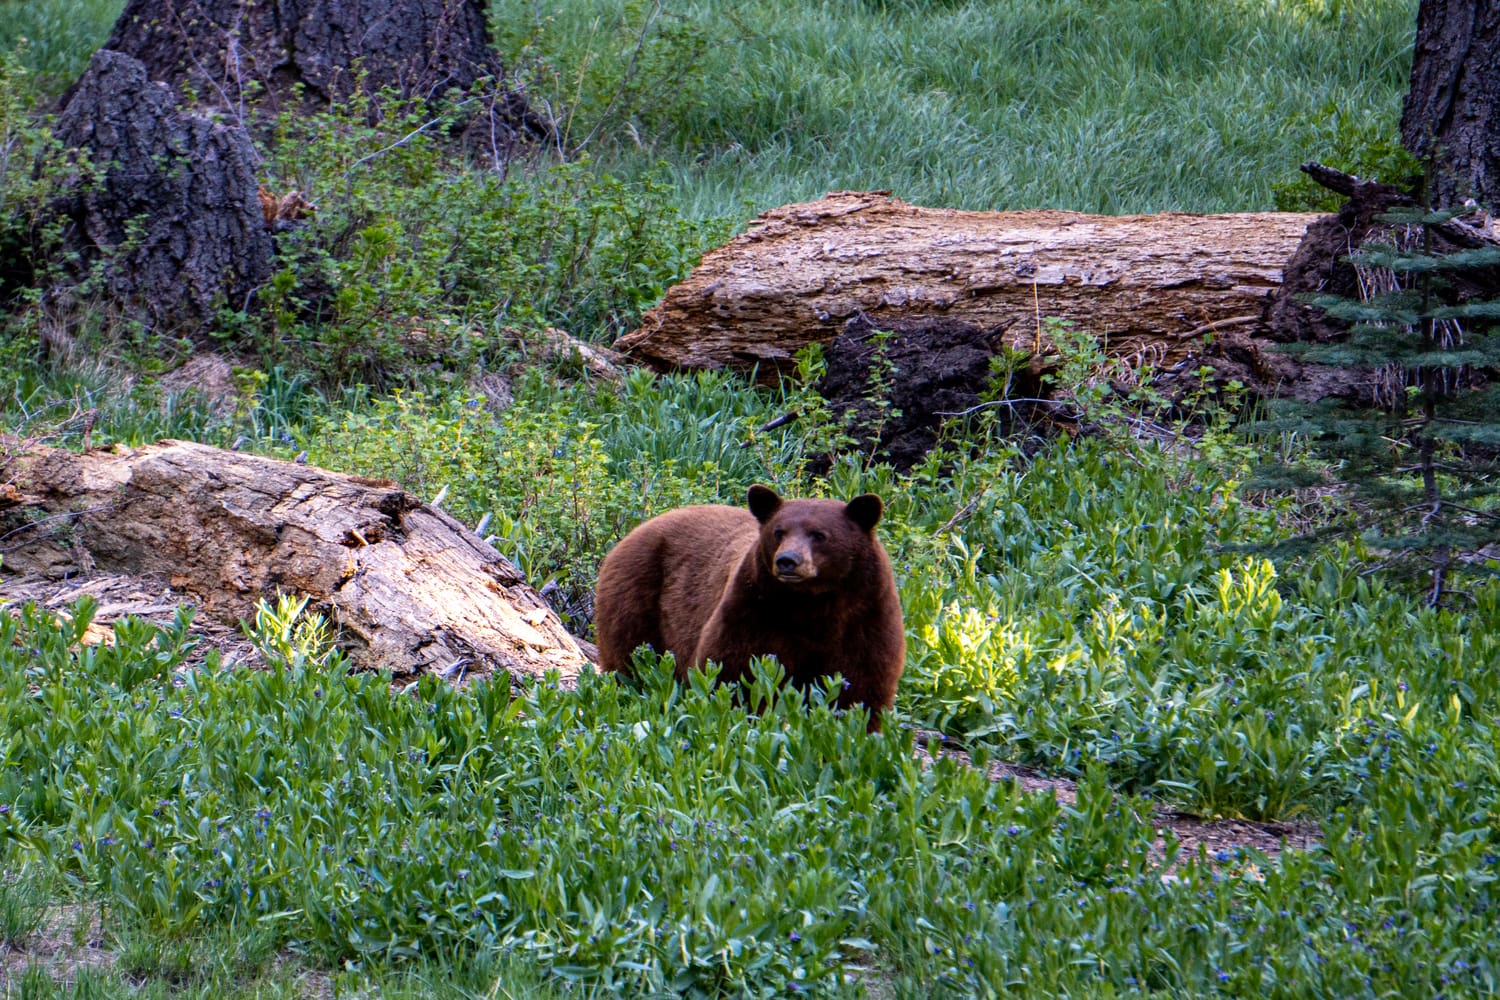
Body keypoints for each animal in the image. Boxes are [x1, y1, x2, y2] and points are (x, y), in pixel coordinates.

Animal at [594, 485, 900, 734]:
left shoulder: (865, 615)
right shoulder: (754, 609)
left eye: (819, 534)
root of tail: (636, 530)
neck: (811, 604)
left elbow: (861, 682)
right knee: (629, 656)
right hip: (636, 595)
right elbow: (736, 671)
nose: (787, 560)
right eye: (779, 532)